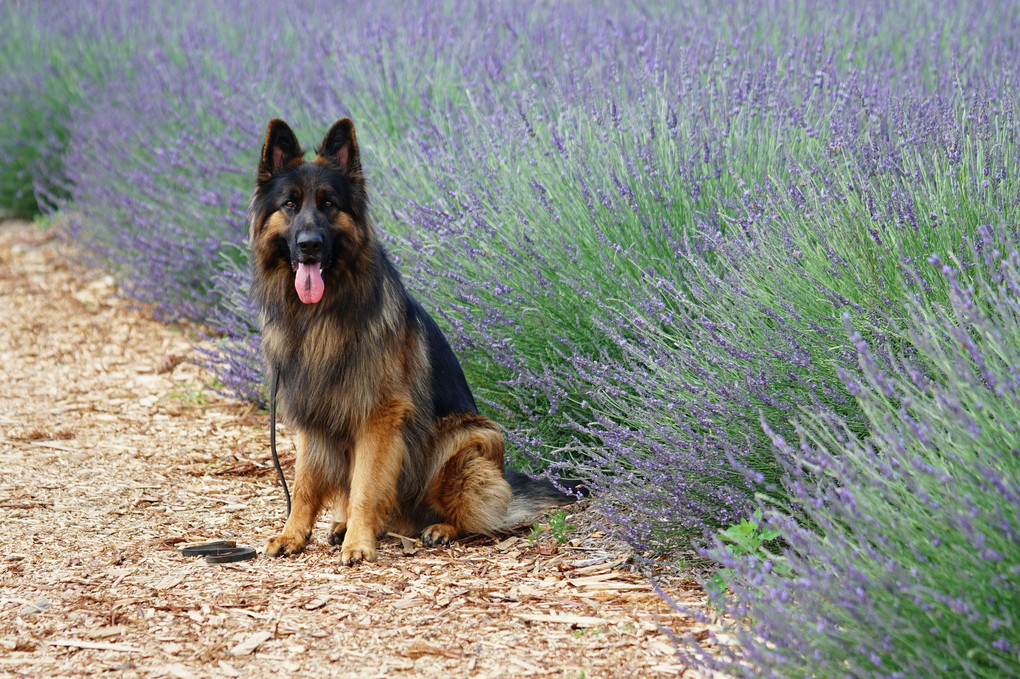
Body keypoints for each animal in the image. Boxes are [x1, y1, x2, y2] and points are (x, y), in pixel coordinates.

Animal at [247, 118, 575, 562]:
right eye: (290, 205)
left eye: (329, 203)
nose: (309, 245)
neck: (320, 315)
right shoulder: (312, 413)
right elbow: (304, 484)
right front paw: (293, 534)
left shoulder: (379, 416)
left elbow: (365, 485)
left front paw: (359, 544)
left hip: (466, 441)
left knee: (477, 516)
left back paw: (439, 528)